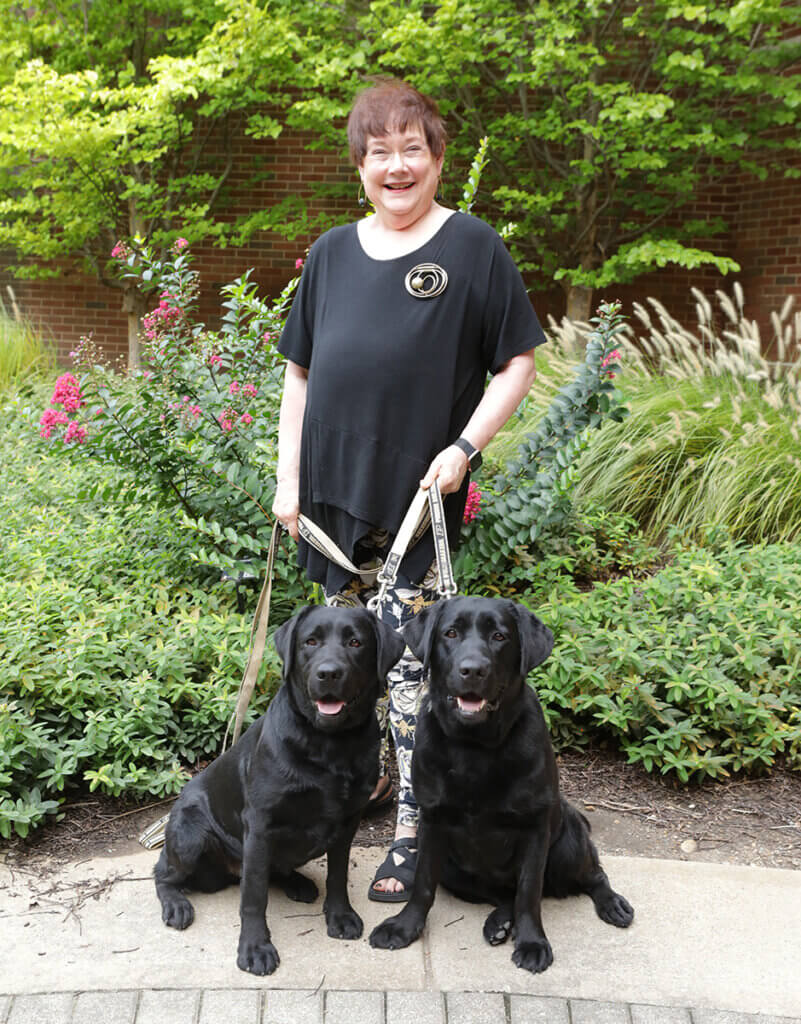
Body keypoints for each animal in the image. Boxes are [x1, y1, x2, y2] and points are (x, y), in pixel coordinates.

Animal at [155, 606, 407, 974]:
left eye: (356, 642)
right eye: (310, 641)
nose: (328, 673)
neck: (330, 745)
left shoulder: (348, 823)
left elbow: (337, 875)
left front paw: (340, 915)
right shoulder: (260, 826)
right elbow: (254, 896)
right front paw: (254, 947)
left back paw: (298, 883)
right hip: (191, 836)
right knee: (164, 874)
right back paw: (176, 904)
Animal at [368, 598, 635, 970]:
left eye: (499, 636)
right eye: (450, 633)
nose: (473, 670)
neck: (475, 747)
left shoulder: (535, 830)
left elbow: (528, 892)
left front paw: (532, 942)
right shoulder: (432, 823)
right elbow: (422, 884)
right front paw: (405, 926)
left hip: (568, 845)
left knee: (592, 875)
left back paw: (611, 903)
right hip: (454, 870)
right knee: (501, 895)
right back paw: (499, 922)